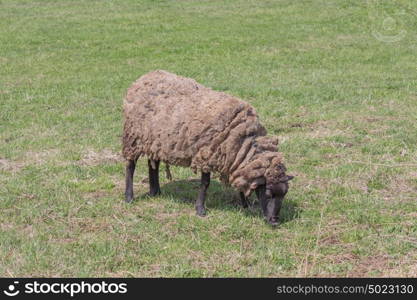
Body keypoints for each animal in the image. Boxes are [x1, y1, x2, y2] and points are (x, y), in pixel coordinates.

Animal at [122, 70, 294, 225]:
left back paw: (155, 191)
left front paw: (245, 204)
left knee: (153, 164)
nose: (275, 222)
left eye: (284, 194)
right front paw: (200, 210)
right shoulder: (206, 154)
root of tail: (143, 77)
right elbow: (205, 184)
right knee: (130, 166)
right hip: (133, 137)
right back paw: (129, 197)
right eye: (268, 193)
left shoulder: (234, 159)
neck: (242, 139)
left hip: (155, 141)